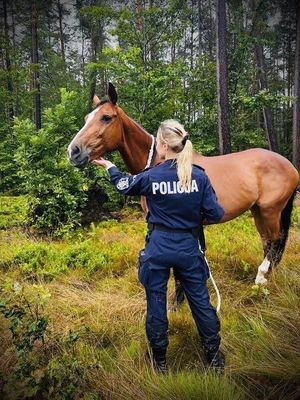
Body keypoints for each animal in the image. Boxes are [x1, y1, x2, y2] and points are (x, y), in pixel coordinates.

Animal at [67, 83, 298, 288]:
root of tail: (290, 167)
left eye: (106, 117)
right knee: (268, 242)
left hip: (270, 211)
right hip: (258, 211)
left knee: (275, 241)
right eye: (87, 118)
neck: (165, 162)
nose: (74, 151)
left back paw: (261, 277)